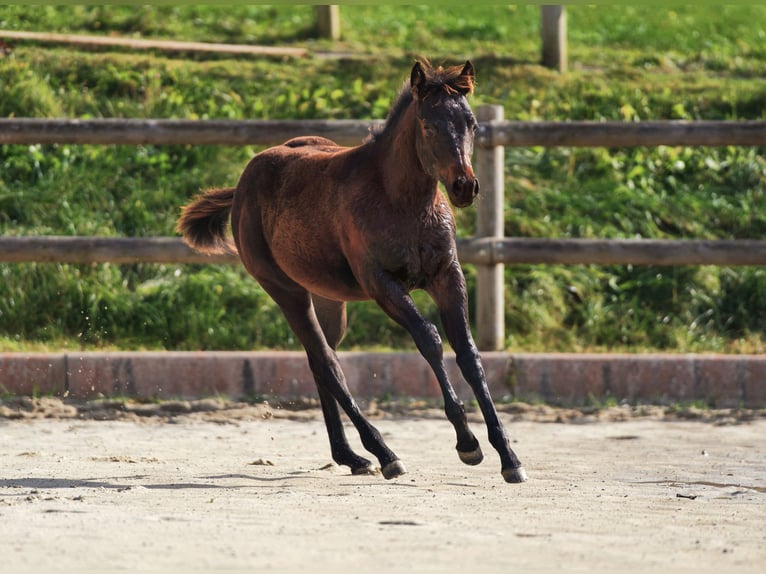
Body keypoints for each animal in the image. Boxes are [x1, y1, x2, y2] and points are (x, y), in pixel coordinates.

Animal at [178, 60, 528, 486]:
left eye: (472, 123)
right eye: (428, 125)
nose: (464, 186)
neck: (403, 202)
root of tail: (244, 183)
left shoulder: (448, 276)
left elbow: (469, 353)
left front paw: (509, 456)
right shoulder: (382, 283)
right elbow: (429, 339)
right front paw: (467, 443)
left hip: (328, 297)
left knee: (320, 359)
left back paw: (351, 456)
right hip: (286, 290)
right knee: (327, 363)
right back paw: (384, 453)